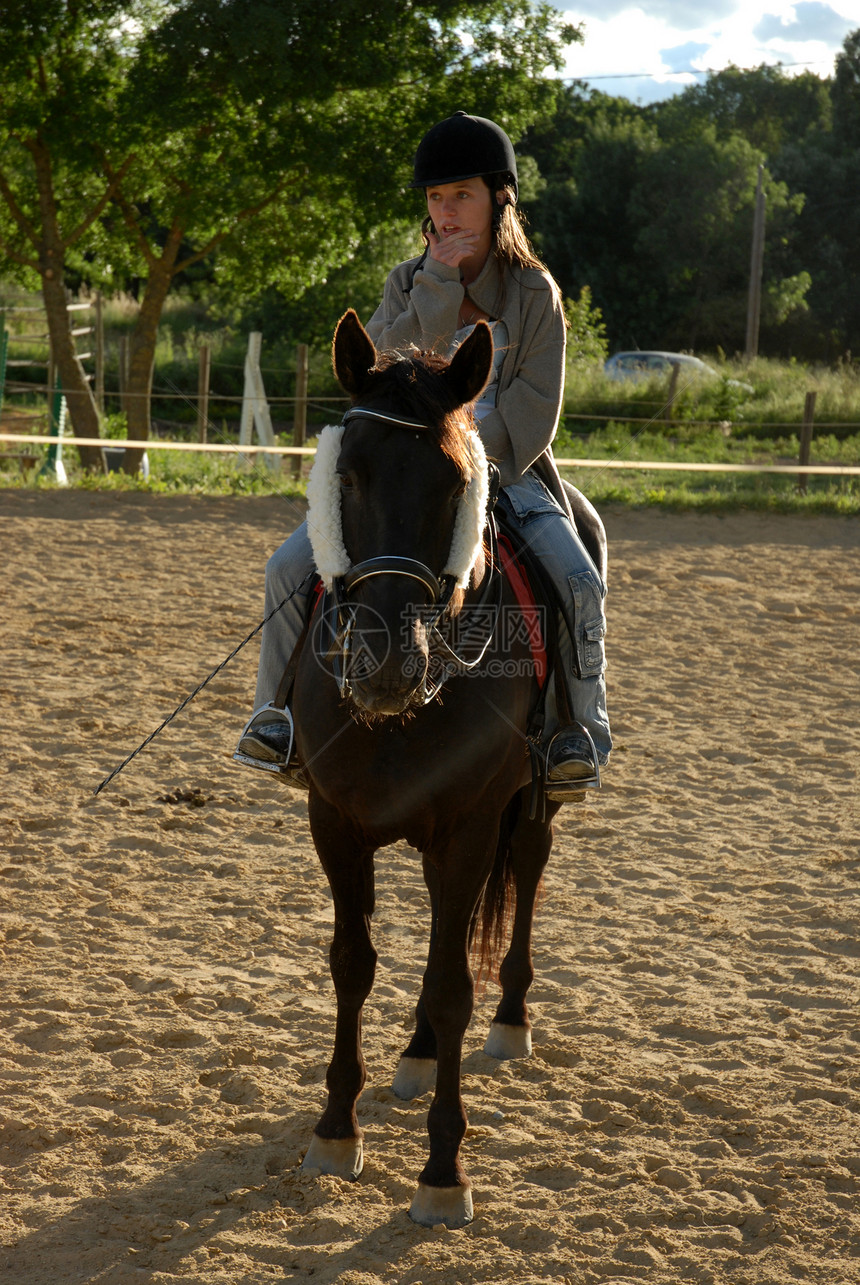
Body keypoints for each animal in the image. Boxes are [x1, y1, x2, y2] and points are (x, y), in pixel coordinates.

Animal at [287, 308, 596, 1223]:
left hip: (529, 807)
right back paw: (419, 1052)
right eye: (346, 475)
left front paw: (443, 1170)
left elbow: (456, 983)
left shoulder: (469, 826)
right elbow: (353, 962)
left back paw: (511, 1019)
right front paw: (336, 1129)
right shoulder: (335, 822)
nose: (386, 664)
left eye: (458, 481)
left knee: (522, 876)